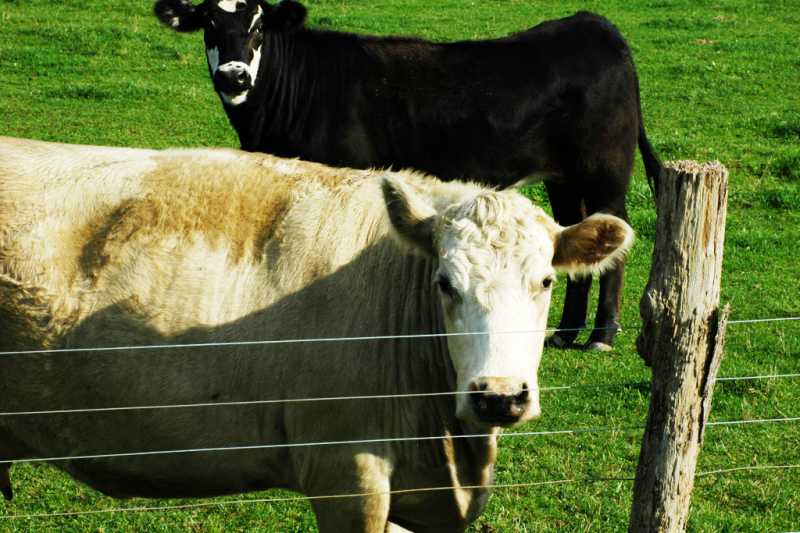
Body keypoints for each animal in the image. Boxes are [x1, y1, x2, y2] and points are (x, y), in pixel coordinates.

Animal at [153, 0, 662, 351]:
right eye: (209, 23)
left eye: (258, 26)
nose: (234, 77)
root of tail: (593, 24)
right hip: (564, 178)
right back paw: (567, 331)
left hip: (605, 171)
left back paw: (601, 334)